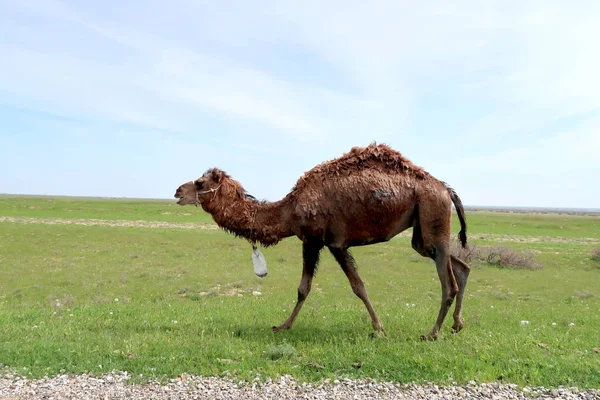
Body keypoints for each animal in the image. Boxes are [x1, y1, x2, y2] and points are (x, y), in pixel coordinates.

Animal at [176, 142, 472, 340]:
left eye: (200, 183)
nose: (178, 191)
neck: (289, 210)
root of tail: (446, 189)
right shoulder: (317, 242)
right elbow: (307, 288)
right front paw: (284, 325)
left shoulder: (325, 242)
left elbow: (349, 287)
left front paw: (378, 328)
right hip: (422, 230)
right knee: (460, 266)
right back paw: (457, 324)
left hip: (432, 213)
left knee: (448, 283)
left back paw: (433, 333)